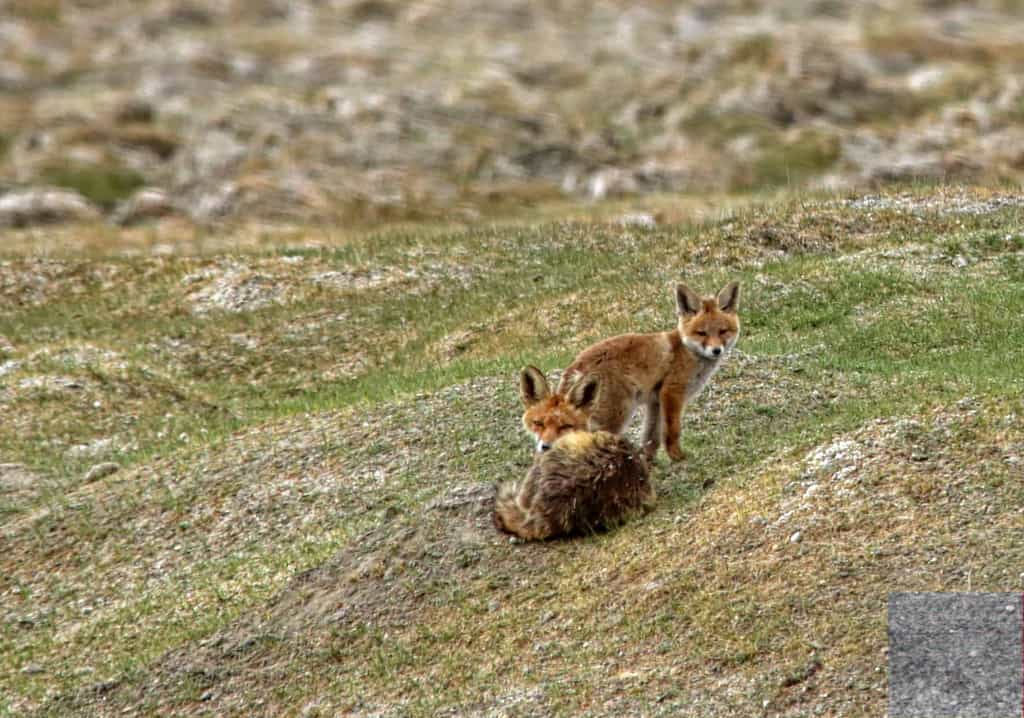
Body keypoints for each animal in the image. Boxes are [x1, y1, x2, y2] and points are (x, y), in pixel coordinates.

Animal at [557, 281, 740, 462]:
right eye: (701, 333)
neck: (686, 351)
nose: (716, 350)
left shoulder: (655, 402)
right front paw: (677, 456)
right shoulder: (672, 392)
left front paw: (648, 460)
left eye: (722, 331)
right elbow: (672, 430)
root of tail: (578, 363)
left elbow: (651, 437)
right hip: (618, 414)